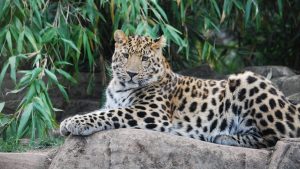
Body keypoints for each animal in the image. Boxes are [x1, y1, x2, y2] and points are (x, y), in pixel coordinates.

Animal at [59, 29, 300, 149]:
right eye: (126, 55)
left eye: (144, 59)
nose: (132, 73)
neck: (120, 86)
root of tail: (291, 105)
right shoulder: (113, 103)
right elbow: (101, 111)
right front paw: (68, 122)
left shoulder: (151, 112)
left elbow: (110, 114)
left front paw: (72, 122)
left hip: (246, 79)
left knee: (277, 137)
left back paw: (224, 137)